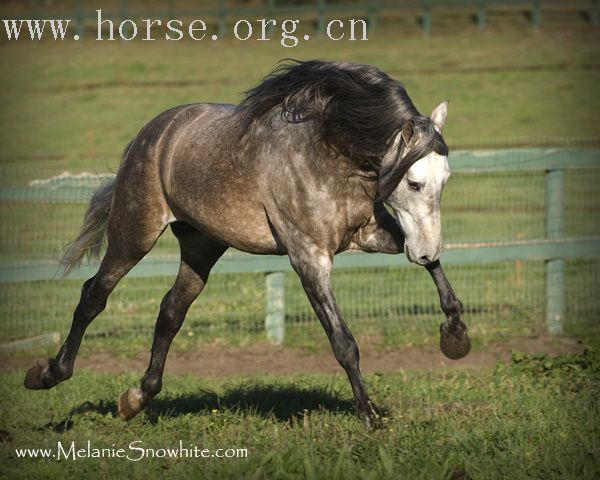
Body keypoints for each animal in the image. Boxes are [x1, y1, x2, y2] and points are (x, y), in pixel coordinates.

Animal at [24, 61, 468, 428]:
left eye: (445, 180)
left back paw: (134, 399)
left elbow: (435, 273)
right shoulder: (309, 257)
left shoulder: (371, 234)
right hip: (134, 235)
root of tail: (153, 132)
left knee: (170, 312)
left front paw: (455, 336)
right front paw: (369, 416)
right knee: (93, 295)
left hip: (201, 247)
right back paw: (46, 374)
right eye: (414, 183)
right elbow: (343, 342)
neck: (329, 152)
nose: (425, 248)